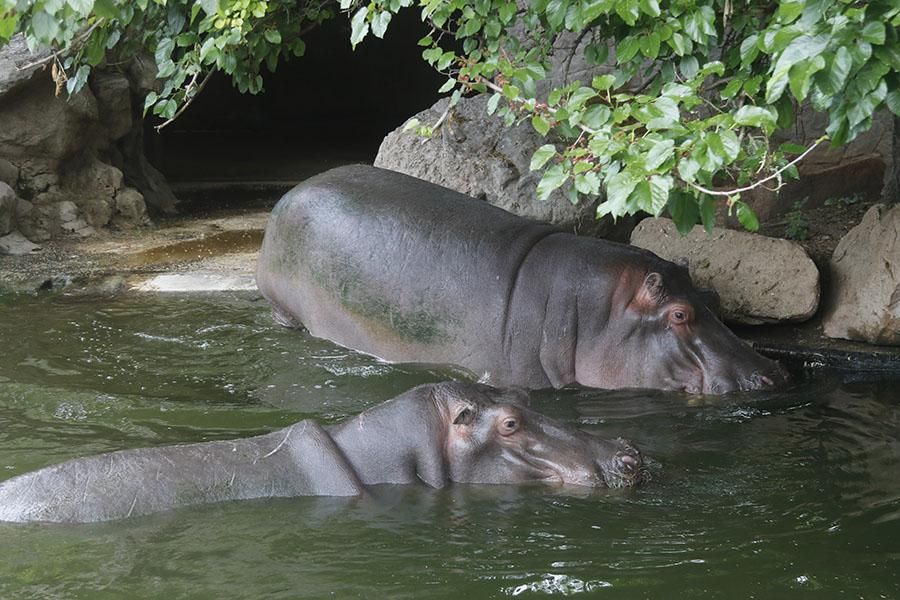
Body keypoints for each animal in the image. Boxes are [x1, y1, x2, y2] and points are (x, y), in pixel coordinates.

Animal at [256, 164, 784, 394]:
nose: (773, 373)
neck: (596, 312)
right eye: (678, 314)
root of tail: (293, 191)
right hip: (284, 307)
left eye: (714, 296)